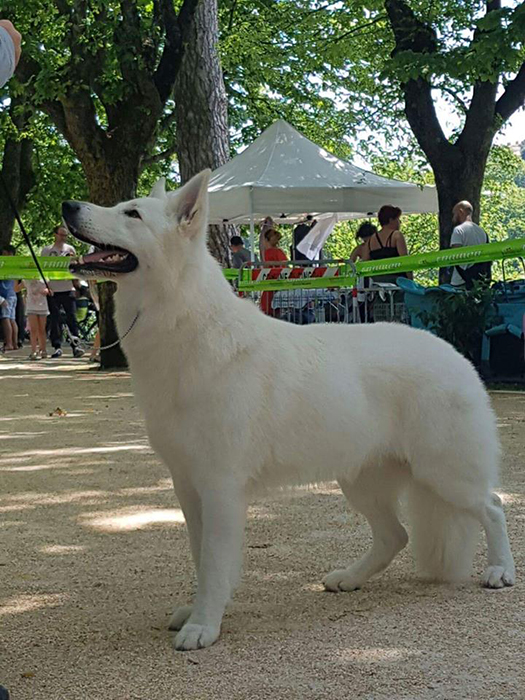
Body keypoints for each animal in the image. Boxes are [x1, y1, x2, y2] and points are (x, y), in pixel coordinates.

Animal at [60, 170, 512, 652]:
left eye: (132, 214)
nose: (68, 207)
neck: (182, 321)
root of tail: (451, 352)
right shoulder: (188, 487)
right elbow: (201, 560)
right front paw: (199, 613)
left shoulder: (219, 488)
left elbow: (214, 564)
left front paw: (203, 626)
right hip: (362, 481)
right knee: (397, 535)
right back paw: (350, 577)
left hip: (443, 473)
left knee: (492, 507)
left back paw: (500, 570)